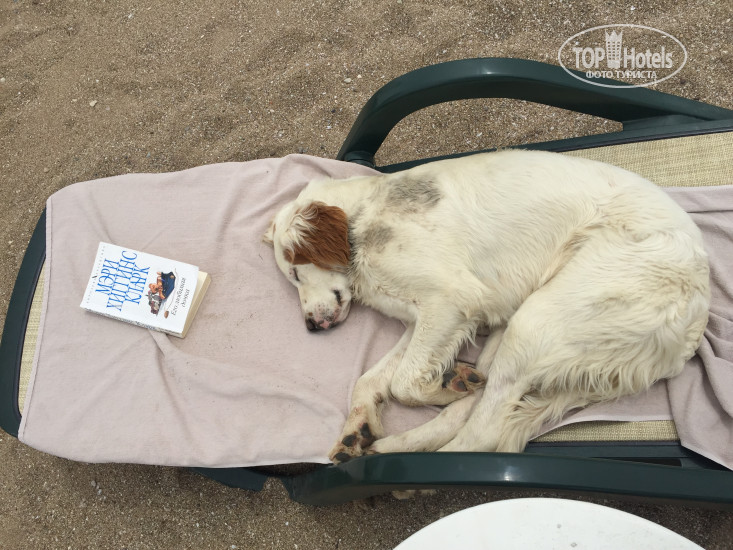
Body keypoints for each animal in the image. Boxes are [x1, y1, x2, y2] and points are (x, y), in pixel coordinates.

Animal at [263, 150, 710, 464]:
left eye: (297, 273)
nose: (310, 326)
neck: (364, 216)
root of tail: (698, 317)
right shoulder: (428, 318)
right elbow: (371, 380)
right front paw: (359, 426)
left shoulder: (450, 299)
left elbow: (403, 383)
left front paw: (441, 388)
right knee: (484, 401)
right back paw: (407, 433)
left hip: (539, 320)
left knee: (484, 432)